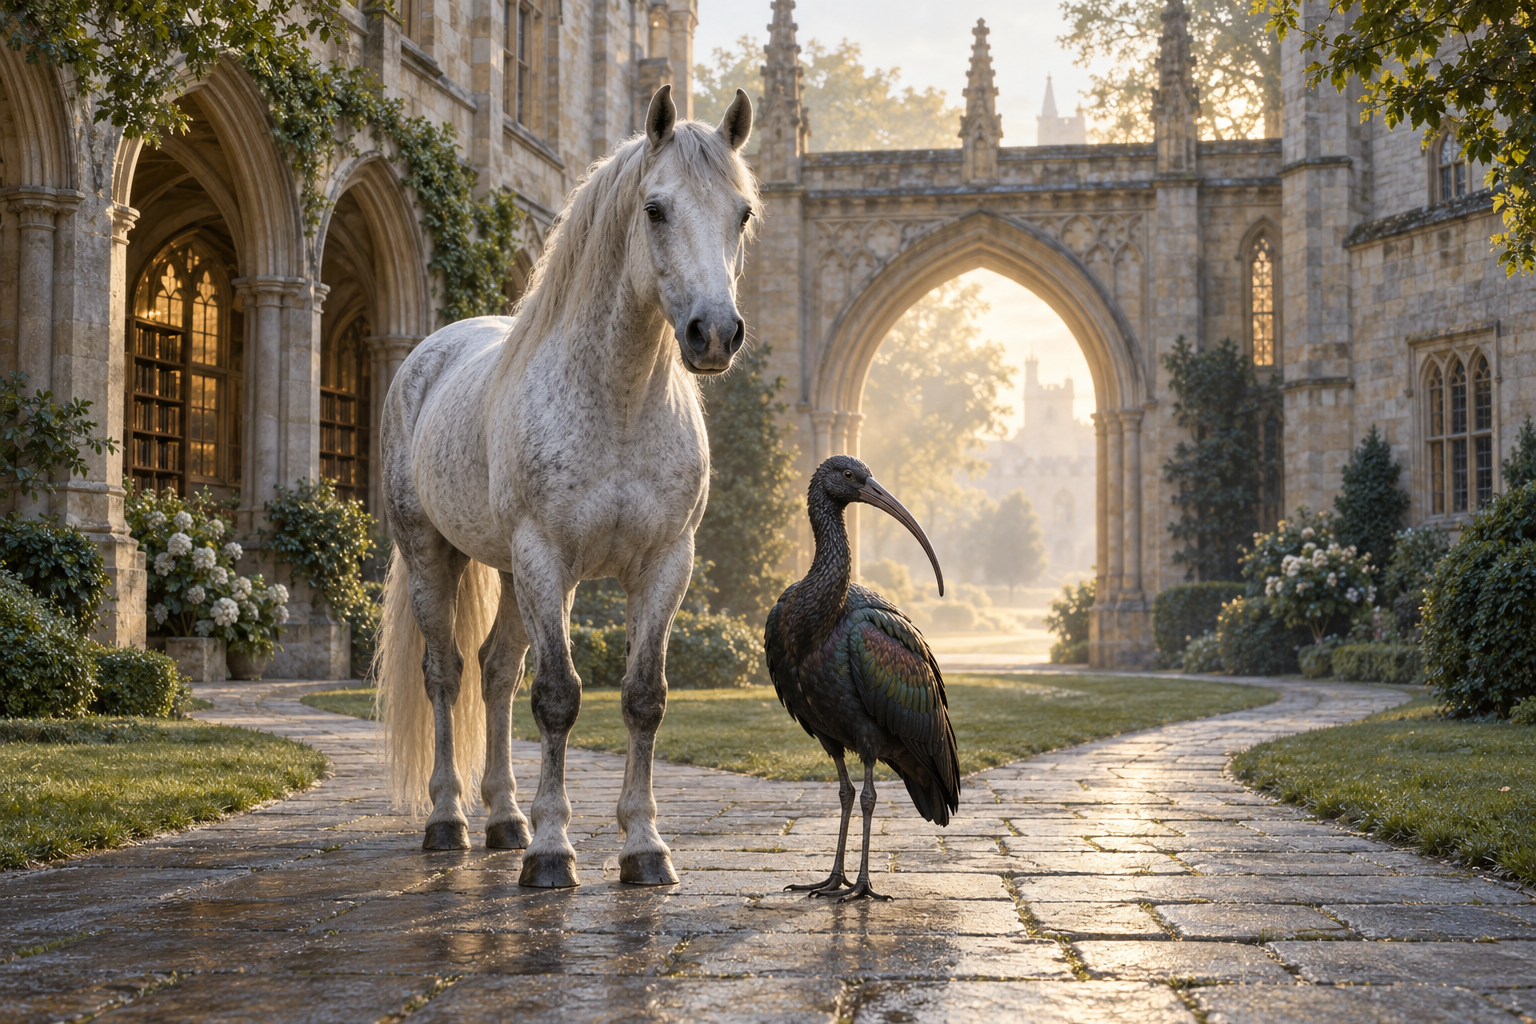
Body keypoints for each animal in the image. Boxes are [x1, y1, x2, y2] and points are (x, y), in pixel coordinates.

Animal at [374, 85, 758, 888]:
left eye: (742, 213)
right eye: (655, 209)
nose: (714, 333)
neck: (619, 403)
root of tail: (428, 354)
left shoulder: (664, 565)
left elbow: (644, 699)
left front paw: (644, 846)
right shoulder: (545, 559)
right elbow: (556, 699)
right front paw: (554, 851)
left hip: (510, 576)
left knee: (495, 673)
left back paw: (505, 818)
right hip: (435, 558)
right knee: (447, 675)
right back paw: (450, 820)